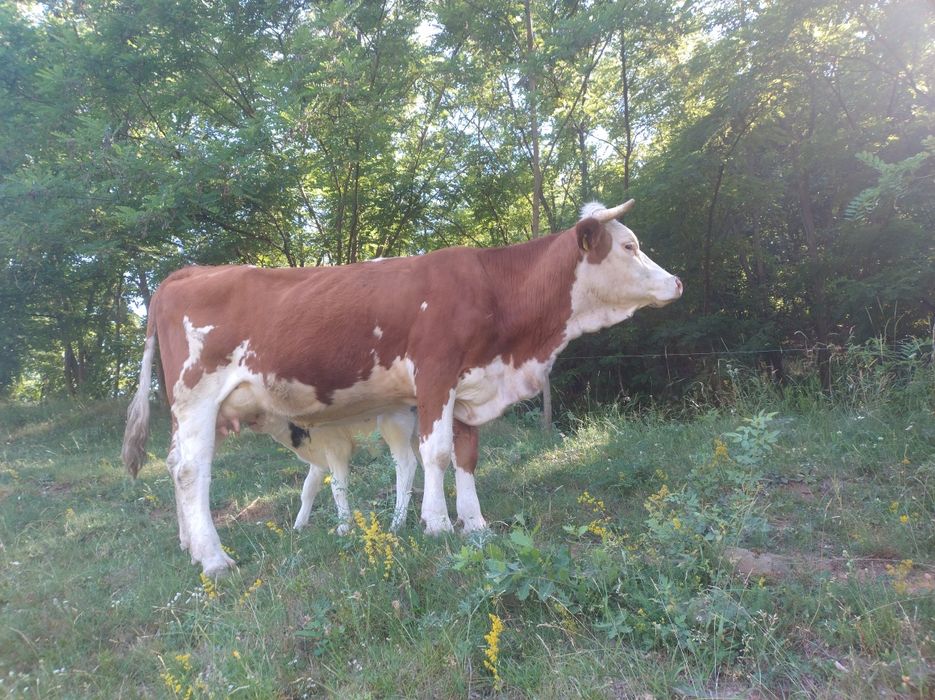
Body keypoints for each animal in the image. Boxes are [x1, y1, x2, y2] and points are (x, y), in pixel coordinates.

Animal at [122, 200, 682, 576]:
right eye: (629, 245)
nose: (676, 282)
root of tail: (184, 273)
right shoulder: (435, 372)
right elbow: (436, 454)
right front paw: (437, 525)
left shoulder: (467, 385)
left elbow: (466, 455)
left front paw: (475, 525)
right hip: (197, 394)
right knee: (192, 470)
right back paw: (214, 558)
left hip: (195, 409)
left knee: (174, 464)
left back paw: (188, 545)